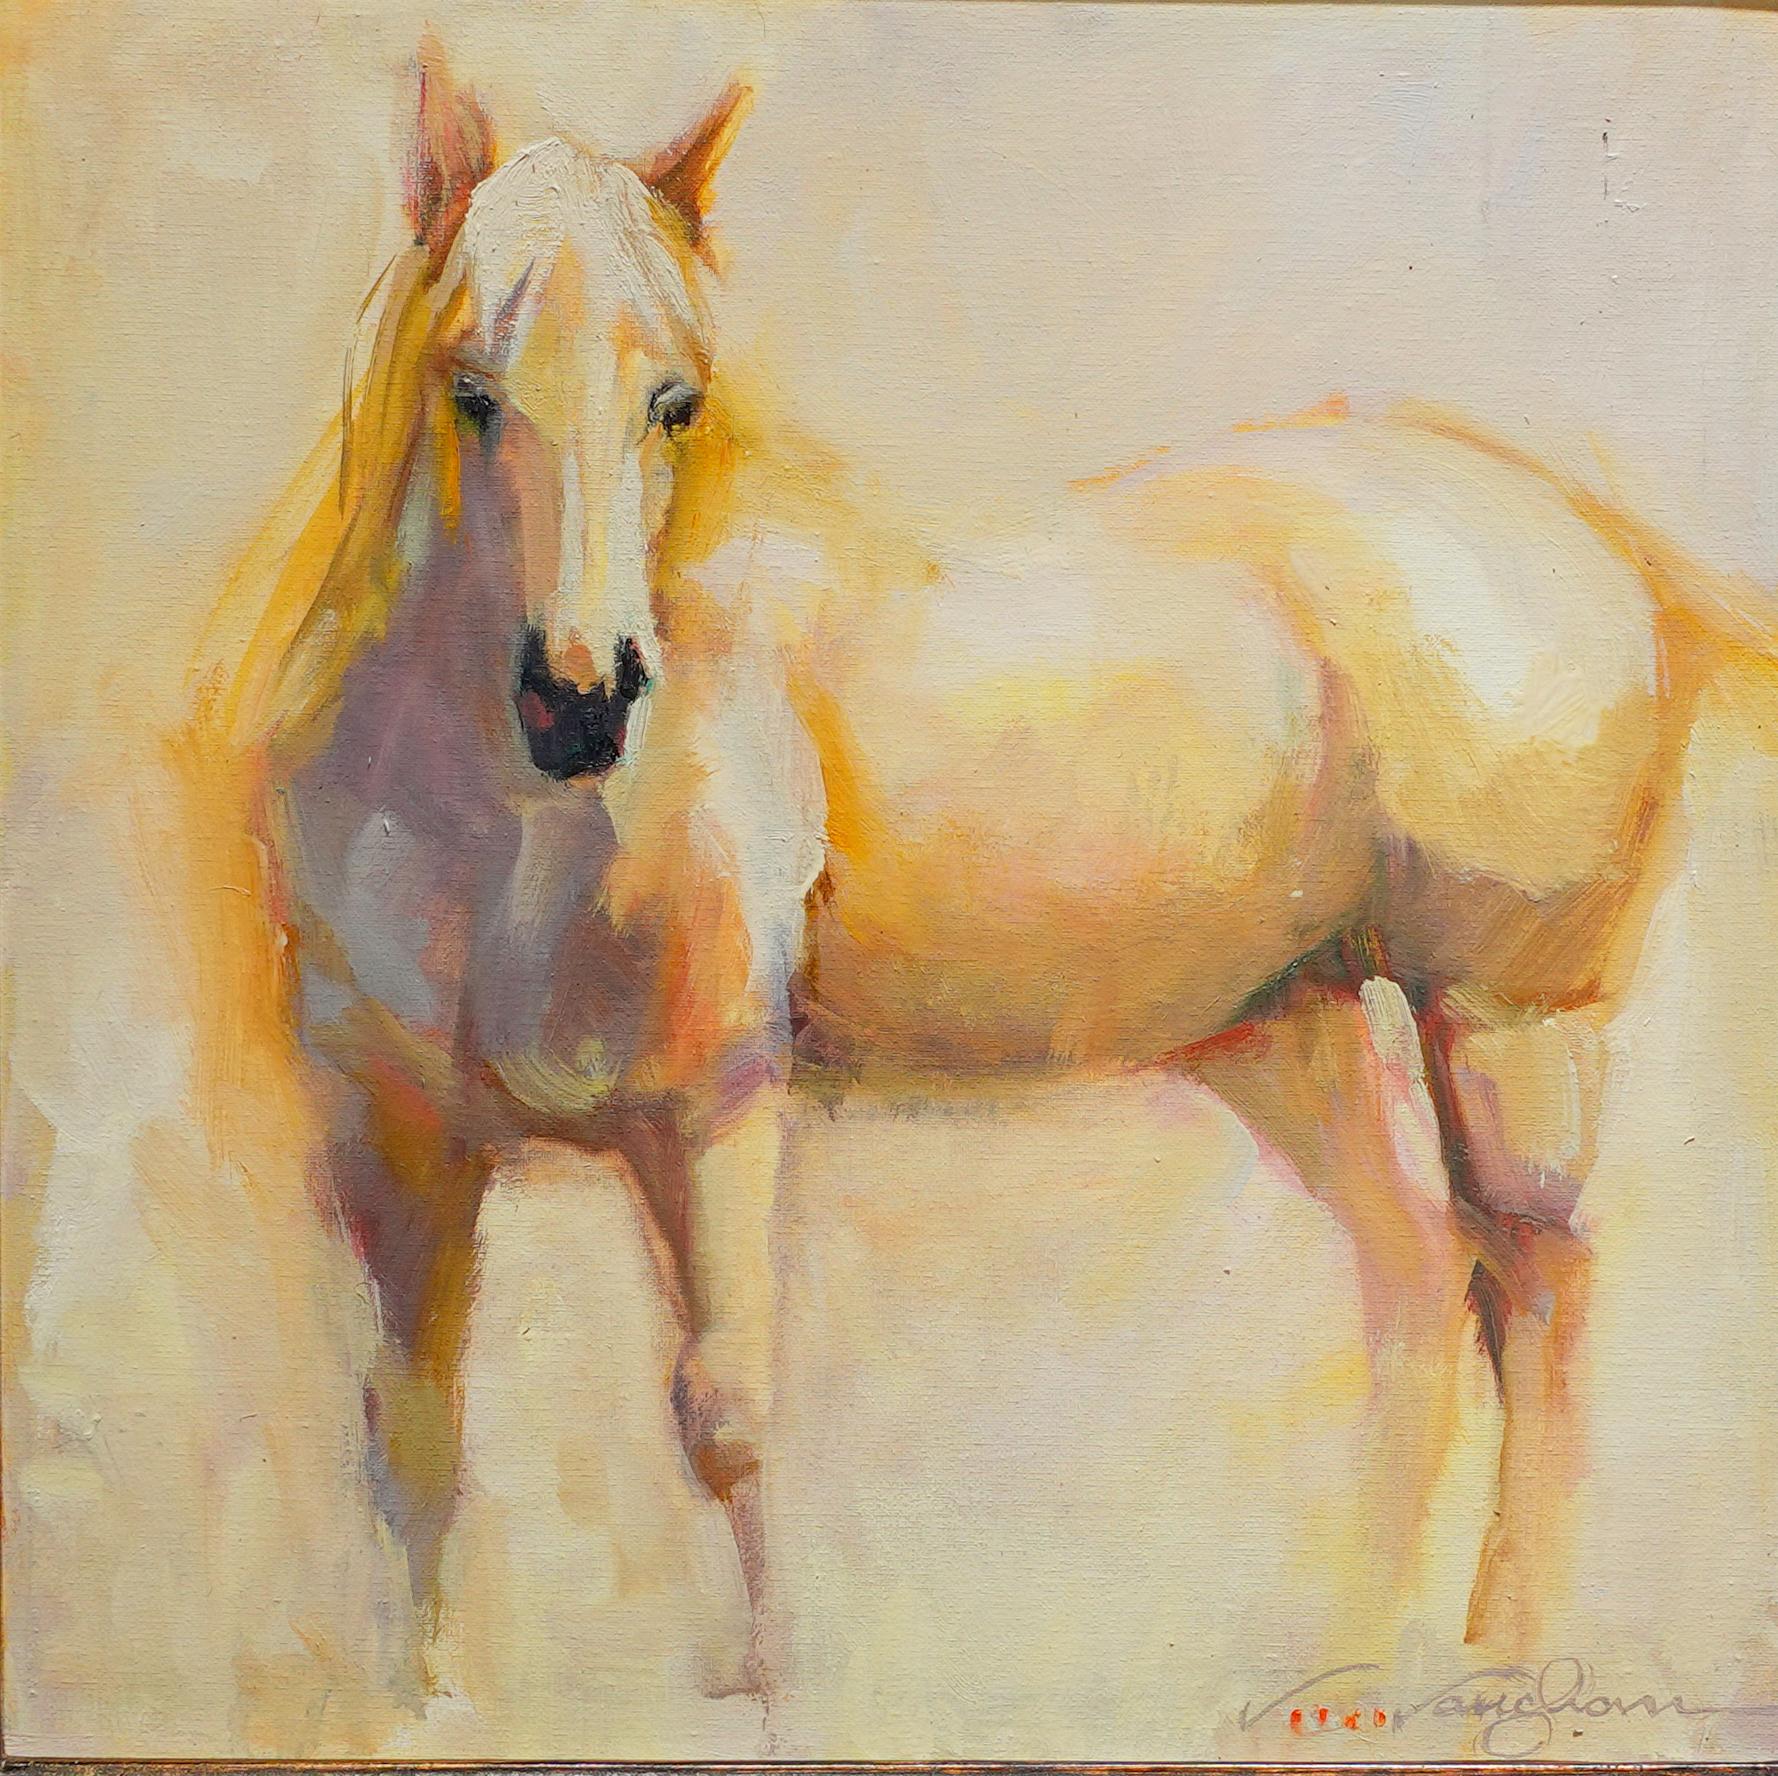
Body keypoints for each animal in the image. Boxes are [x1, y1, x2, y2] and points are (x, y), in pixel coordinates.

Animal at [199, 38, 1778, 1685]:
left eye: (673, 402)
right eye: (471, 390)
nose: (580, 699)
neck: (491, 832)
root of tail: (1595, 534)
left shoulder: (712, 1107)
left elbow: (725, 1422)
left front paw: (763, 1697)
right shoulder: (392, 1148)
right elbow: (408, 1445)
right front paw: (419, 1700)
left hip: (1506, 1025)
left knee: (1532, 1289)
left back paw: (1499, 1657)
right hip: (1289, 1024)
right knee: (1412, 1275)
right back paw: (1348, 1653)